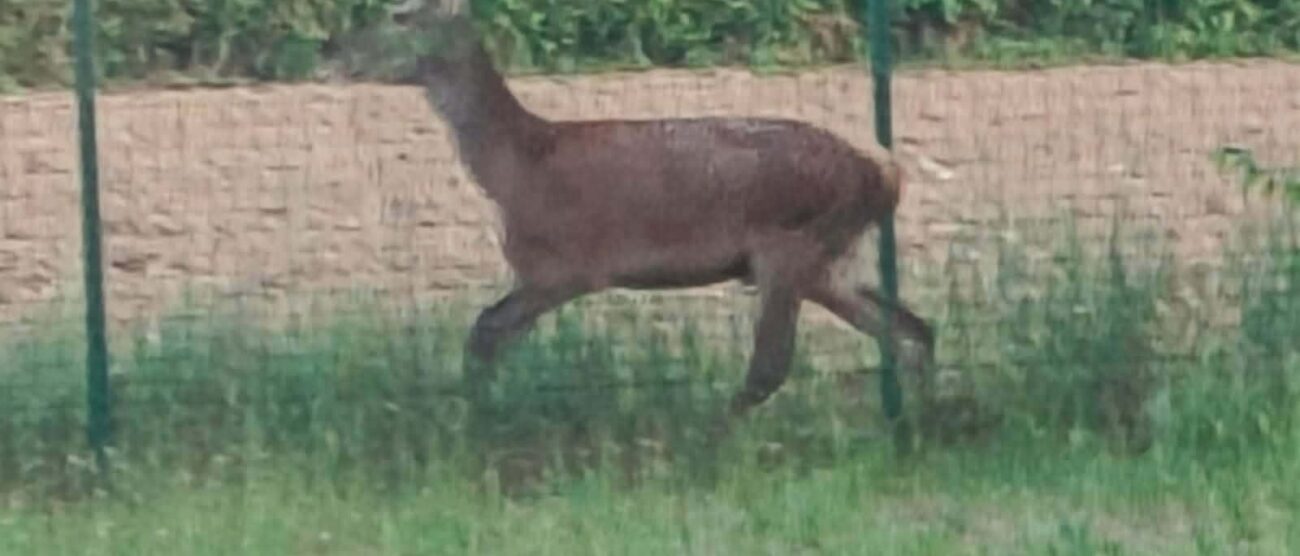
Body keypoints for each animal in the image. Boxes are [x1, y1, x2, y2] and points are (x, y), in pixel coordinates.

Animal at [349, 0, 937, 424]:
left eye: (400, 14)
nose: (336, 49)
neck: (516, 168)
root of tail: (886, 176)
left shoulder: (567, 266)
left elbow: (484, 331)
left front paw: (475, 421)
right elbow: (485, 334)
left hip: (790, 245)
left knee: (772, 365)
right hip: (830, 260)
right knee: (913, 329)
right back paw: (915, 429)